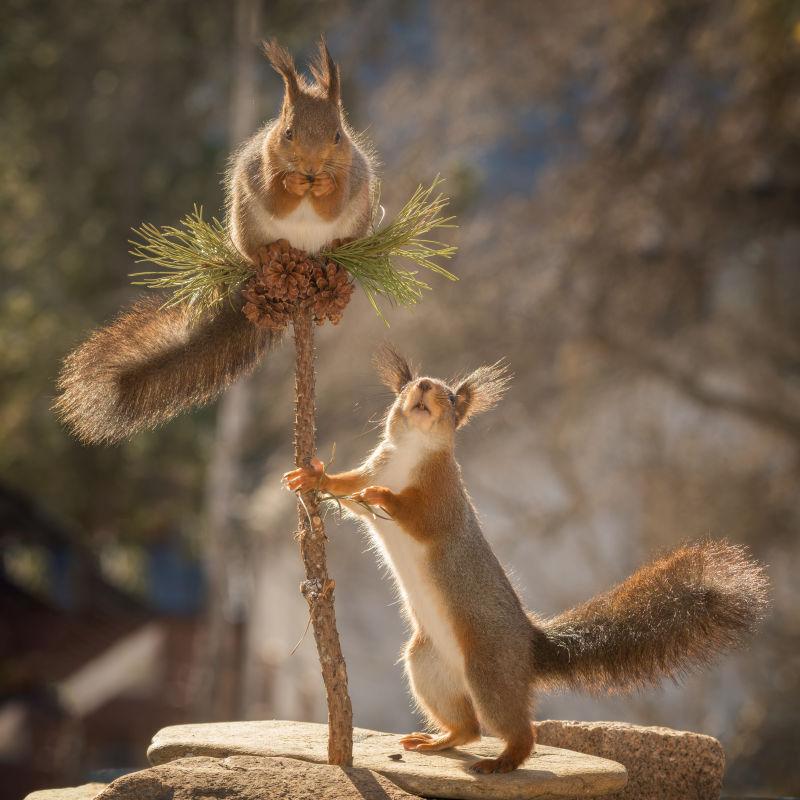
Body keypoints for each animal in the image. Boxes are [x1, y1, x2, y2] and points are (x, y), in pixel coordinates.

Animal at [56, 37, 376, 444]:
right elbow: (274, 194)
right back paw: (271, 251)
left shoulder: (350, 174)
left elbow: (332, 202)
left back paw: (336, 253)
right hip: (245, 221)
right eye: (288, 132)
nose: (310, 167)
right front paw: (289, 183)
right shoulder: (259, 167)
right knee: (257, 245)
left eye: (338, 135)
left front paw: (322, 187)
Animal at [286, 346, 768, 776]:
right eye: (407, 386)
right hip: (428, 667)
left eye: (452, 397)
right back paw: (438, 741)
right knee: (468, 728)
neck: (410, 454)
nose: (423, 387)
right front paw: (312, 475)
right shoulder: (373, 468)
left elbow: (416, 516)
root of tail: (529, 647)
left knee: (518, 731)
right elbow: (348, 489)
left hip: (489, 671)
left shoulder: (443, 501)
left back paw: (502, 761)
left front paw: (385, 496)